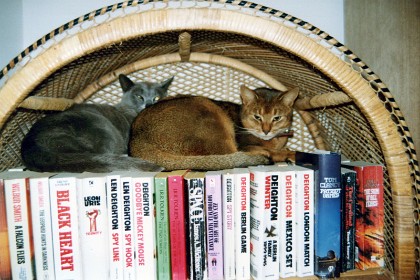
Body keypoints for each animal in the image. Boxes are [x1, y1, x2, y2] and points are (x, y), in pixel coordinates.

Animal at [130, 84, 296, 170]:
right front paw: (288, 153)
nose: (266, 130)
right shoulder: (246, 146)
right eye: (257, 117)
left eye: (277, 118)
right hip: (208, 107)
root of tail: (137, 140)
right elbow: (268, 150)